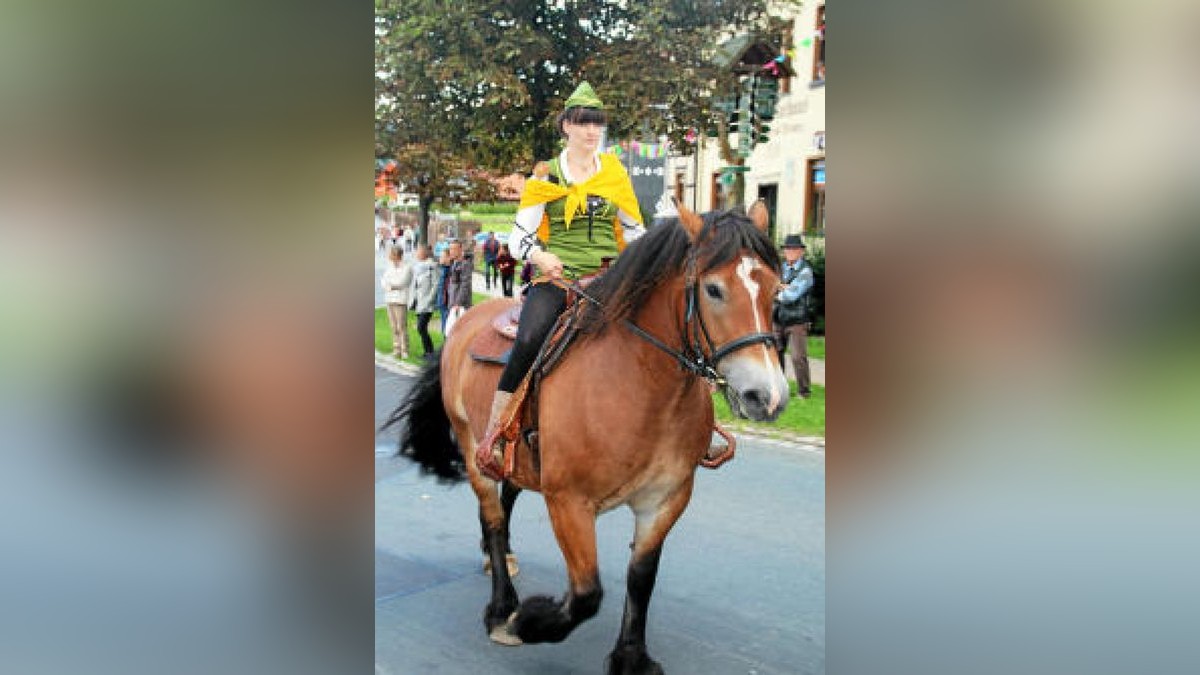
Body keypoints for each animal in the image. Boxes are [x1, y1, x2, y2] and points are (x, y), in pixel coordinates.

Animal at [391, 204, 787, 672]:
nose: (768, 396)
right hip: (475, 452)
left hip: (517, 458)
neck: (640, 384)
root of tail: (464, 320)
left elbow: (641, 578)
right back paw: (502, 607)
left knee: (506, 502)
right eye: (713, 289)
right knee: (492, 517)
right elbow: (585, 595)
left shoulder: (666, 499)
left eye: (776, 289)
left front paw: (631, 655)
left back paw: (497, 560)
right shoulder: (569, 503)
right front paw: (530, 621)